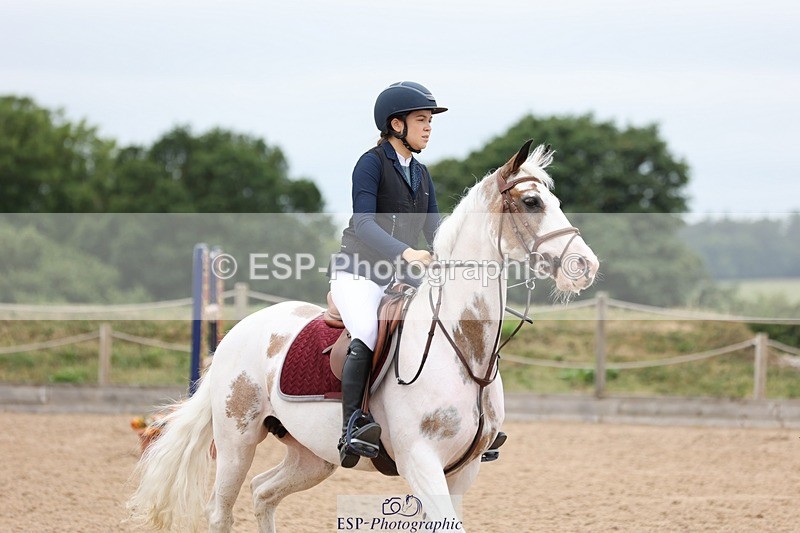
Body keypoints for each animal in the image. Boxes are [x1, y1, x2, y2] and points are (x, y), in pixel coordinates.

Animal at [127, 140, 599, 532]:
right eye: (531, 202)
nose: (585, 266)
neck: (463, 350)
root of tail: (239, 331)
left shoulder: (462, 472)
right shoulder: (421, 462)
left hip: (312, 455)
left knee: (263, 492)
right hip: (236, 440)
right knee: (222, 510)